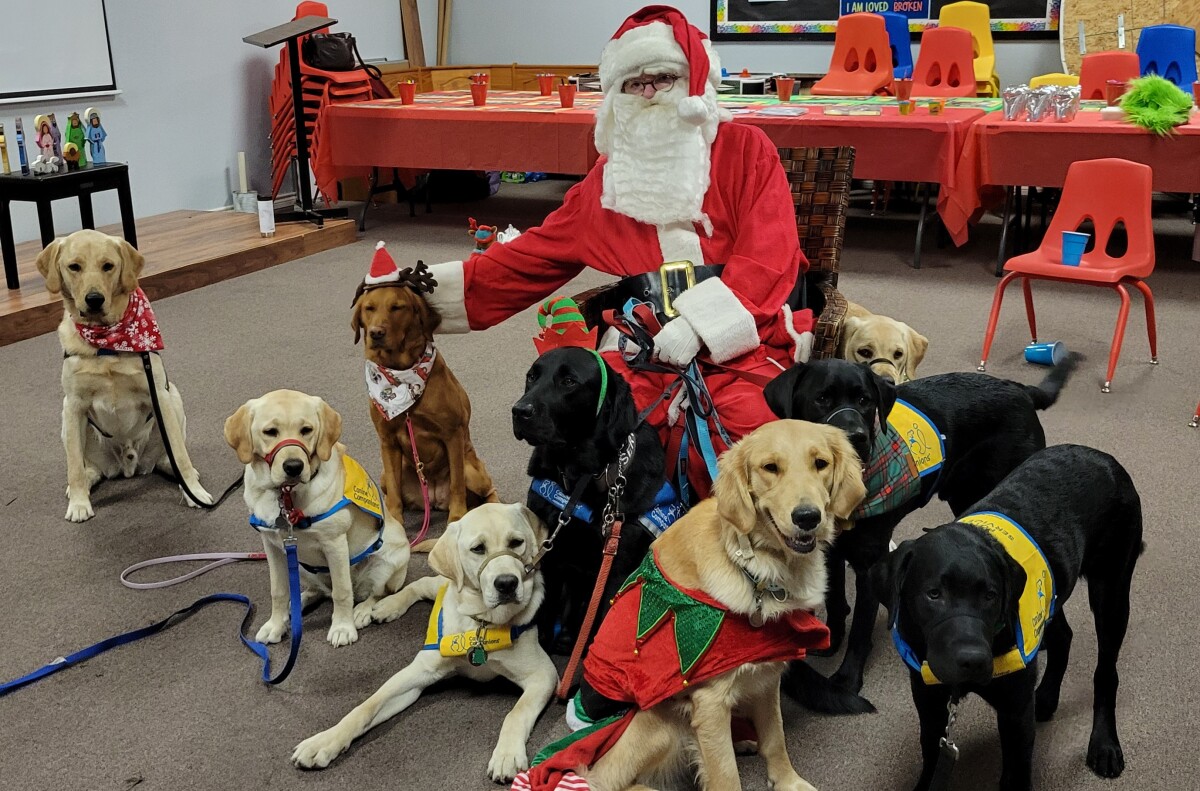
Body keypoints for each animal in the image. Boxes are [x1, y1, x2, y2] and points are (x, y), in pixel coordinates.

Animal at [35, 229, 213, 523]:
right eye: (74, 267)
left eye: (108, 266)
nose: (94, 299)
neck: (107, 342)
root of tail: (128, 464)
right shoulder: (73, 405)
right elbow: (74, 465)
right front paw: (79, 503)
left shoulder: (159, 395)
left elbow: (180, 454)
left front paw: (193, 492)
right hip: (65, 419)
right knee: (84, 466)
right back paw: (81, 485)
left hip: (174, 398)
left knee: (169, 456)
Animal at [225, 391, 412, 648]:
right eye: (270, 431)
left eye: (306, 429)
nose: (294, 466)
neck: (287, 497)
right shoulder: (273, 547)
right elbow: (279, 591)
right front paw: (276, 624)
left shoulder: (335, 543)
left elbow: (342, 592)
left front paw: (342, 628)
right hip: (300, 564)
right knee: (318, 591)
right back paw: (297, 605)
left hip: (389, 560)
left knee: (374, 593)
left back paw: (362, 610)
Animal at [290, 504, 556, 782]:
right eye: (478, 548)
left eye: (516, 543)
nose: (507, 583)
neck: (481, 624)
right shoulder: (420, 672)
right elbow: (366, 707)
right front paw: (324, 742)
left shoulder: (543, 675)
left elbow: (516, 713)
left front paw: (507, 754)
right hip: (445, 583)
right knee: (422, 584)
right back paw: (388, 605)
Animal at [532, 420, 864, 791]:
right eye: (770, 468)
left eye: (820, 463)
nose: (808, 517)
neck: (756, 568)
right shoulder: (709, 701)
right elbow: (725, 775)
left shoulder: (766, 677)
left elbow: (775, 738)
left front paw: (788, 782)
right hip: (656, 721)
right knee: (602, 779)